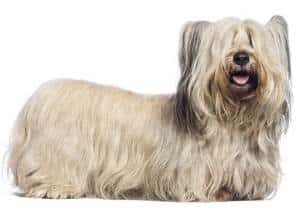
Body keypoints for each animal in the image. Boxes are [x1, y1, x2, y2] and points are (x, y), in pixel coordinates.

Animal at [7, 15, 290, 201]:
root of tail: (37, 98)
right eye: (227, 43)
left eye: (252, 41)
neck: (232, 117)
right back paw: (54, 188)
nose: (241, 57)